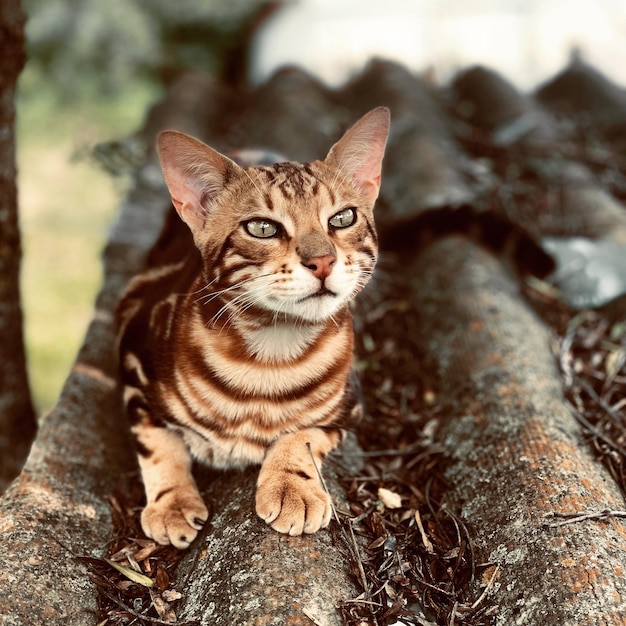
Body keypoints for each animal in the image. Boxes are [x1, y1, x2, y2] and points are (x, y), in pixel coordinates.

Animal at [116, 106, 388, 544]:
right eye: (262, 227)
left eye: (343, 218)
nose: (323, 261)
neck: (271, 353)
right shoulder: (130, 355)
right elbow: (159, 442)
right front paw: (173, 502)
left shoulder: (350, 407)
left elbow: (304, 433)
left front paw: (293, 486)